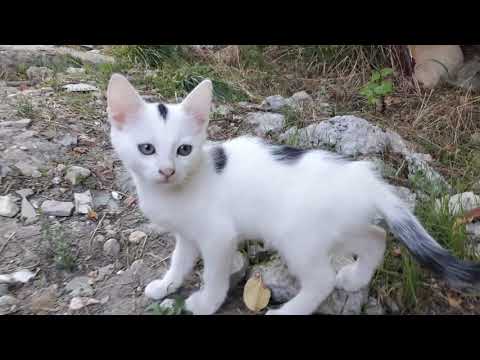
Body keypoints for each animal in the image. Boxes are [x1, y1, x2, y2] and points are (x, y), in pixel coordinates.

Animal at [108, 74, 480, 316]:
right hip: (336, 228)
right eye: (147, 149)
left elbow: (213, 274)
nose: (167, 170)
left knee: (322, 279)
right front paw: (166, 284)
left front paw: (206, 303)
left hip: (296, 236)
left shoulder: (218, 236)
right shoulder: (187, 235)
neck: (178, 189)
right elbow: (179, 260)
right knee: (376, 236)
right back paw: (356, 278)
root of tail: (366, 178)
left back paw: (291, 310)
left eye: (184, 149)